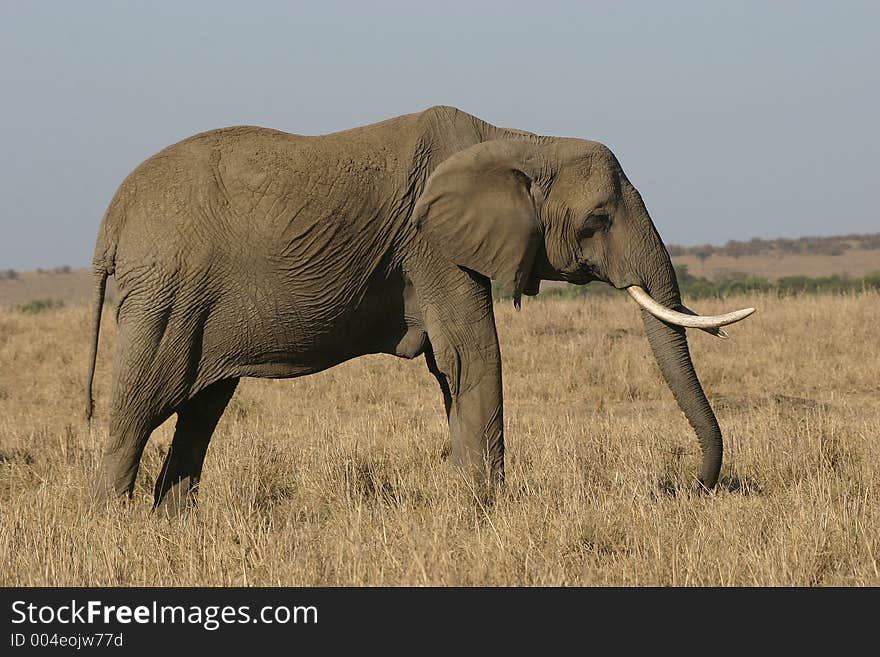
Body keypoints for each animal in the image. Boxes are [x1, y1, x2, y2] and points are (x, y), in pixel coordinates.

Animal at [82, 105, 752, 512]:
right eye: (599, 218)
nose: (686, 487)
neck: (518, 139)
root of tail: (112, 216)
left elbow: (452, 369)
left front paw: (469, 504)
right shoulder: (431, 245)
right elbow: (473, 357)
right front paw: (490, 511)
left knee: (200, 409)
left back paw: (172, 521)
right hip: (168, 290)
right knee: (140, 407)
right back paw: (114, 524)